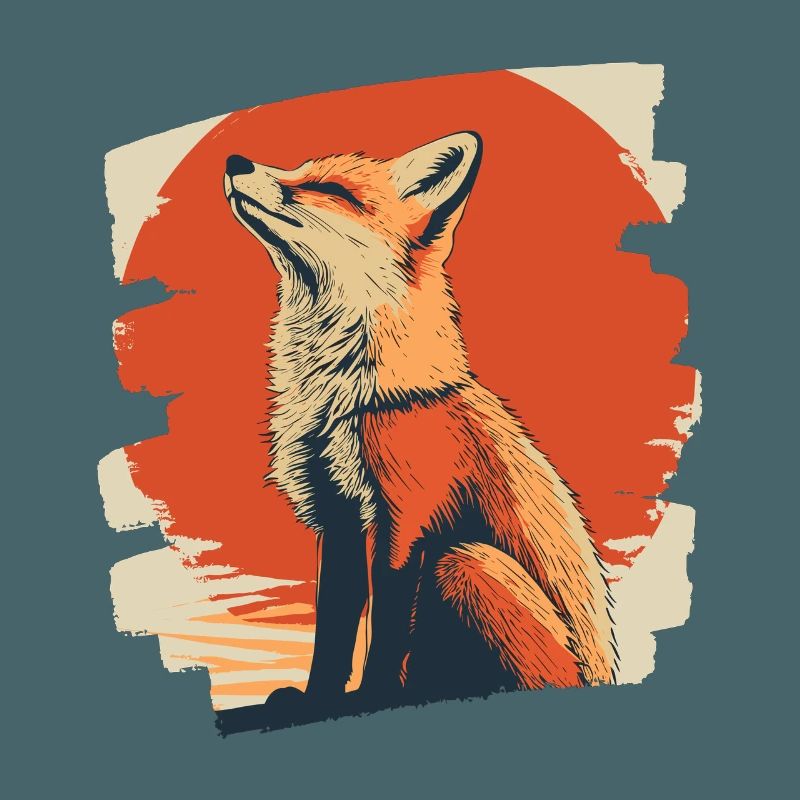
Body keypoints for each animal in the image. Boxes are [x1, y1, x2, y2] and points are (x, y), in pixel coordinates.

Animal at [223, 131, 617, 722]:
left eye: (330, 189)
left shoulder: (406, 521)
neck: (349, 400)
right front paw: (315, 701)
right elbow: (333, 631)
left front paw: (373, 698)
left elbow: (387, 634)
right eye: (299, 169)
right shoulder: (337, 518)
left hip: (465, 562)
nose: (234, 160)